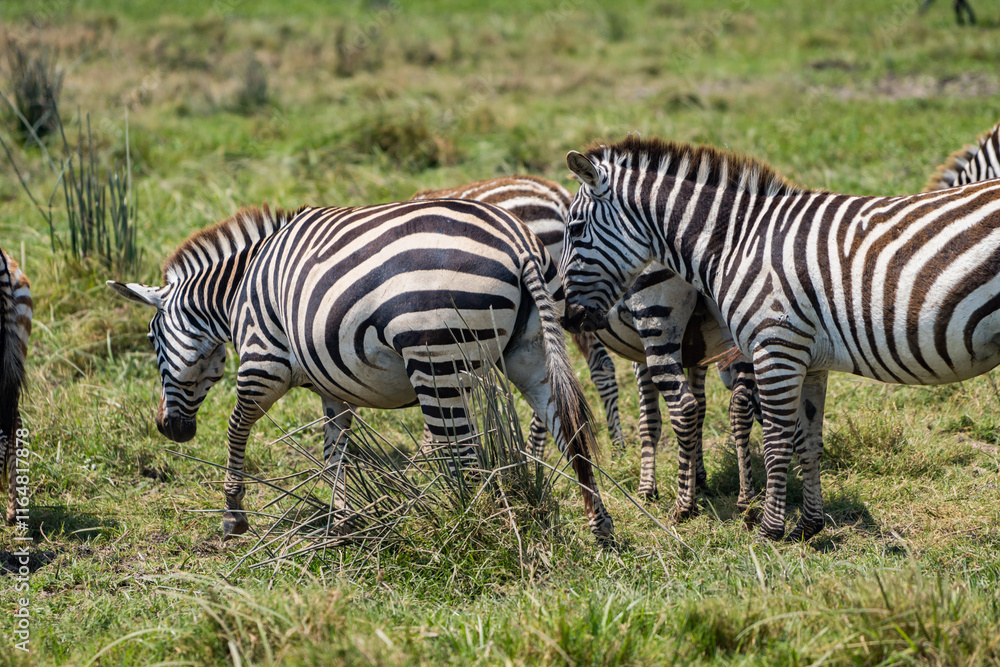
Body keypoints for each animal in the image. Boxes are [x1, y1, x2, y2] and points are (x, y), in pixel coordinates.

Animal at [111, 201, 616, 544]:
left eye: (153, 342)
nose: (167, 428)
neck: (236, 294)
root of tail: (519, 242)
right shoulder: (333, 383)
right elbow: (335, 451)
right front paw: (342, 521)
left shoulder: (261, 362)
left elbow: (237, 429)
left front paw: (233, 514)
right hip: (531, 353)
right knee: (570, 433)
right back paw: (601, 530)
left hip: (436, 361)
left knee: (466, 456)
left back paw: (467, 526)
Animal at [560, 136, 1000, 544]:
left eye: (575, 229)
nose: (568, 318)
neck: (739, 242)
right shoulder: (811, 360)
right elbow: (809, 442)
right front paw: (808, 526)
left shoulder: (776, 348)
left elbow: (775, 442)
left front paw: (768, 530)